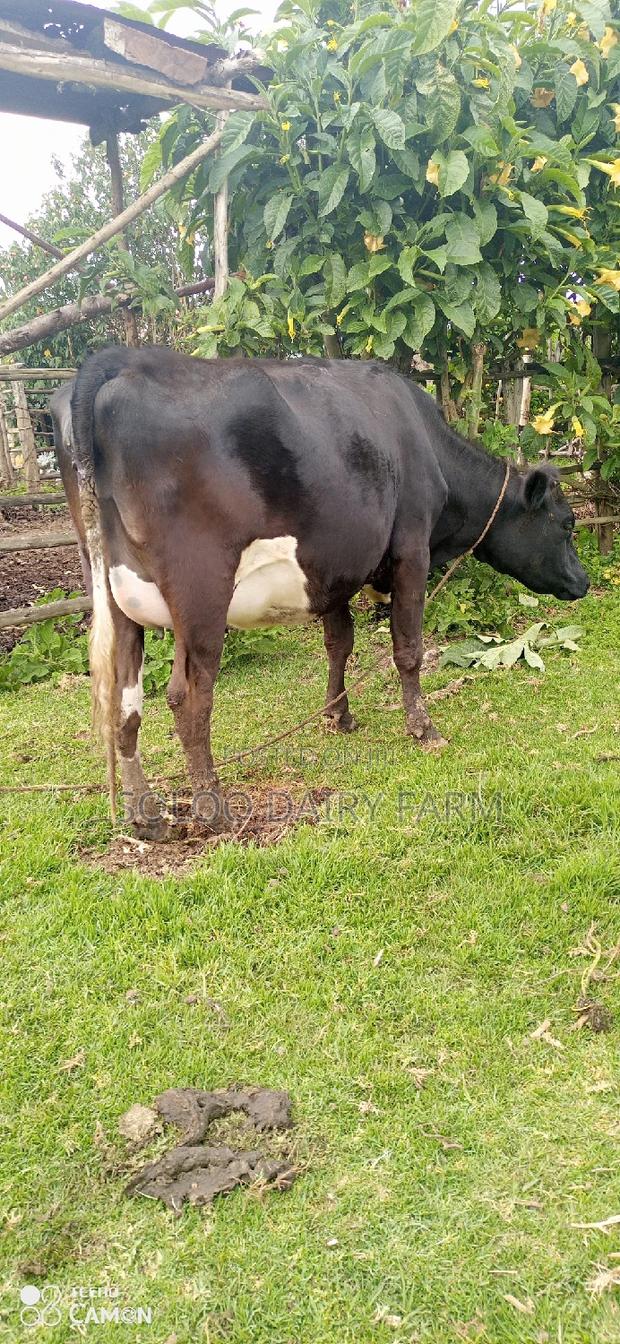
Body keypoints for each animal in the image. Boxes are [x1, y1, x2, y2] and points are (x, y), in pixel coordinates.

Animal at [50, 347, 589, 841]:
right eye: (566, 524)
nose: (582, 583)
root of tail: (118, 360)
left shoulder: (336, 568)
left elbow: (339, 643)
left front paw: (338, 715)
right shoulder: (411, 551)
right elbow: (408, 649)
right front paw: (422, 727)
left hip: (115, 598)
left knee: (124, 701)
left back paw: (146, 816)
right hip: (200, 593)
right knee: (188, 698)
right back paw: (214, 811)